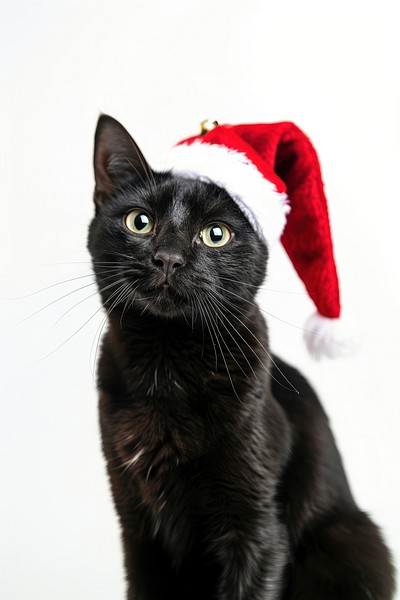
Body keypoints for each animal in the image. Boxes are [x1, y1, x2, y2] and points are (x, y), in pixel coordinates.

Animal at [88, 115, 394, 596]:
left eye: (216, 234)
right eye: (140, 222)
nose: (168, 259)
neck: (167, 360)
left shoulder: (255, 528)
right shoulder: (135, 520)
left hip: (351, 540)